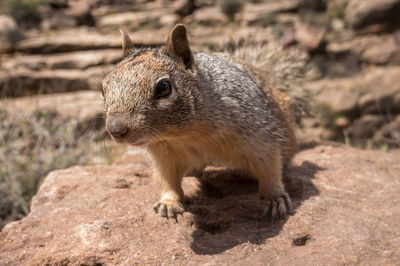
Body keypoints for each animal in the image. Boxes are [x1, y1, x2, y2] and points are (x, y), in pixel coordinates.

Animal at [102, 23, 296, 220]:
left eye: (163, 87)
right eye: (103, 88)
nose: (115, 130)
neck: (188, 134)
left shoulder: (260, 134)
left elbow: (269, 168)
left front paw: (275, 198)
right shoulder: (164, 156)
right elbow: (167, 180)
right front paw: (168, 203)